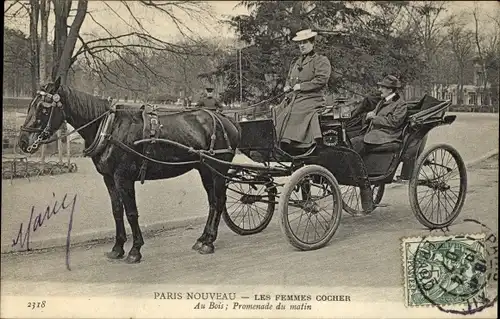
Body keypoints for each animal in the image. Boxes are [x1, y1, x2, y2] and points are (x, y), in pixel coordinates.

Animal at [17, 77, 240, 262]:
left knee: (219, 200)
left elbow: (131, 212)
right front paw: (117, 248)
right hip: (205, 170)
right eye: (31, 105)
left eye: (43, 108)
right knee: (213, 202)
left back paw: (209, 242)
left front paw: (135, 250)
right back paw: (203, 238)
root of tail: (227, 121)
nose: (22, 142)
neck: (109, 128)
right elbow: (117, 210)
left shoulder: (123, 178)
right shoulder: (109, 178)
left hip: (218, 169)